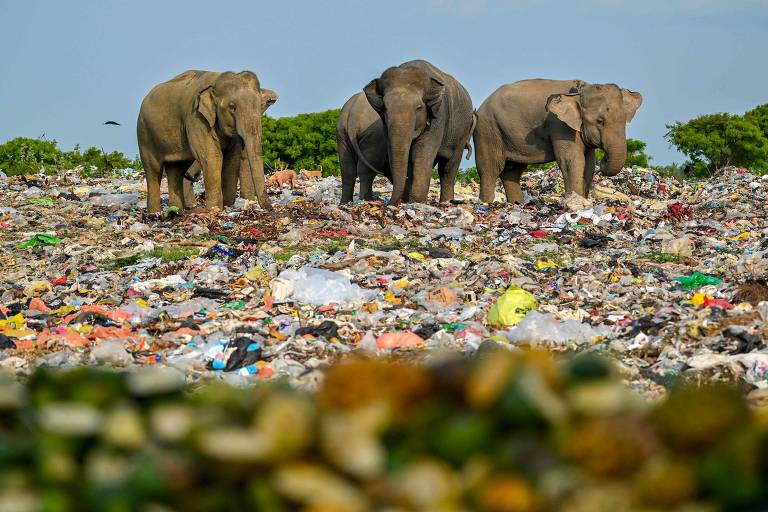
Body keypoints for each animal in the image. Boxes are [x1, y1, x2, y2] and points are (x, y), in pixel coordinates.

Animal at [137, 70, 277, 213]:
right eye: (232, 107)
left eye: (260, 106)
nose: (270, 209)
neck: (215, 82)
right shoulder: (196, 118)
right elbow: (212, 158)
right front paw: (215, 209)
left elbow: (232, 159)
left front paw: (227, 206)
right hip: (144, 133)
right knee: (153, 170)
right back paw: (155, 213)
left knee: (176, 170)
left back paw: (176, 212)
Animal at [363, 60, 475, 205]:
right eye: (385, 108)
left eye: (419, 108)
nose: (389, 203)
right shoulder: (386, 125)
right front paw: (410, 201)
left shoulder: (438, 117)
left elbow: (423, 152)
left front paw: (417, 201)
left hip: (461, 132)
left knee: (447, 168)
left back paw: (446, 202)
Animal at [473, 79, 642, 203]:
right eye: (600, 121)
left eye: (625, 119)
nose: (605, 159)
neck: (579, 91)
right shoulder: (559, 125)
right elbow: (573, 161)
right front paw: (575, 202)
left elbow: (589, 164)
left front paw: (583, 201)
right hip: (488, 130)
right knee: (490, 168)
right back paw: (487, 203)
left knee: (512, 171)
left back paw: (516, 204)